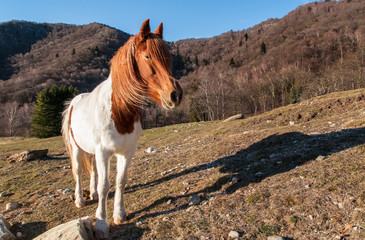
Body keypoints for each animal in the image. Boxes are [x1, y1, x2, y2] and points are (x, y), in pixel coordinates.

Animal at [61, 19, 183, 238]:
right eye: (147, 56)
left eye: (169, 57)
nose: (175, 95)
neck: (120, 110)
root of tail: (74, 101)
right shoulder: (104, 152)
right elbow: (104, 186)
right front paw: (101, 223)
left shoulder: (126, 151)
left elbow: (120, 181)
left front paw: (119, 214)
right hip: (76, 149)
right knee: (78, 171)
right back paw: (80, 199)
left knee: (92, 171)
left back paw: (91, 194)